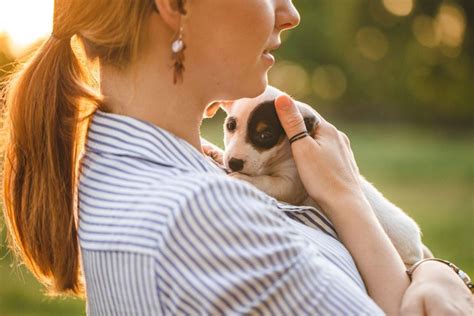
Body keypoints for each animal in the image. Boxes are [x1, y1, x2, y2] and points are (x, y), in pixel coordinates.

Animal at [207, 85, 426, 266]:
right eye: (230, 125)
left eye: (265, 135)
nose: (234, 163)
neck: (276, 157)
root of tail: (418, 245)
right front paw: (214, 152)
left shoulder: (291, 183)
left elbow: (265, 182)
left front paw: (240, 178)